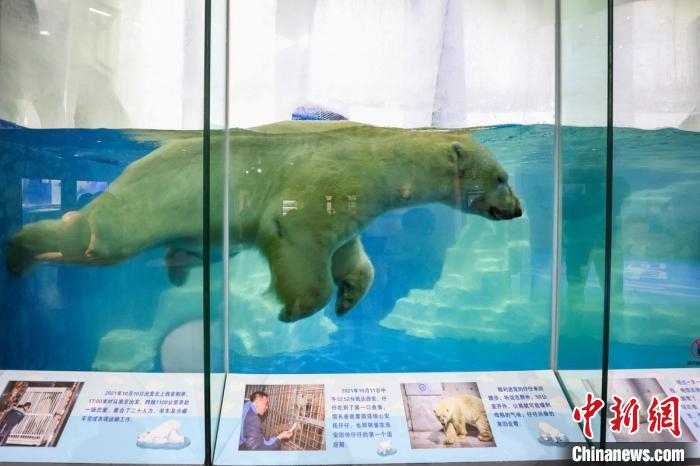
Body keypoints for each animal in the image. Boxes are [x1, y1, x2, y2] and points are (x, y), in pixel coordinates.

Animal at [6, 120, 522, 322]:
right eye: (502, 176)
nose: (517, 209)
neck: (381, 157)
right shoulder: (328, 180)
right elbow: (298, 236)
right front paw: (294, 309)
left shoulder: (357, 203)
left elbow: (349, 252)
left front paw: (348, 297)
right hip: (141, 203)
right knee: (95, 240)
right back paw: (21, 252)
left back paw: (178, 265)